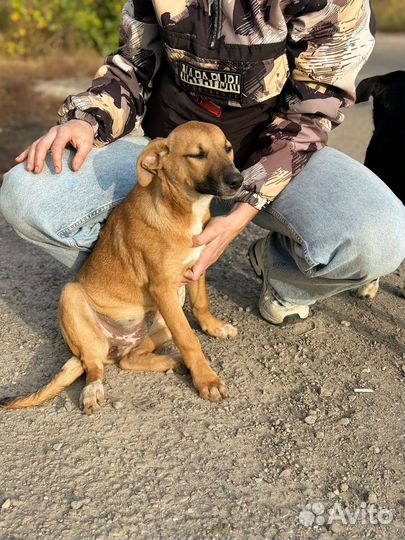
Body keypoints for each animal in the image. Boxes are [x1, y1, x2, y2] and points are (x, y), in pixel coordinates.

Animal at [0, 120, 243, 412]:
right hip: (73, 297)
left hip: (166, 314)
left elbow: (201, 303)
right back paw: (94, 390)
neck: (183, 209)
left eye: (227, 148)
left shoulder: (196, 268)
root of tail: (113, 346)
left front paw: (214, 327)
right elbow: (188, 338)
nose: (238, 180)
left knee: (129, 359)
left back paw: (171, 361)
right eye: (198, 155)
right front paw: (207, 379)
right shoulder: (162, 287)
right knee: (93, 365)